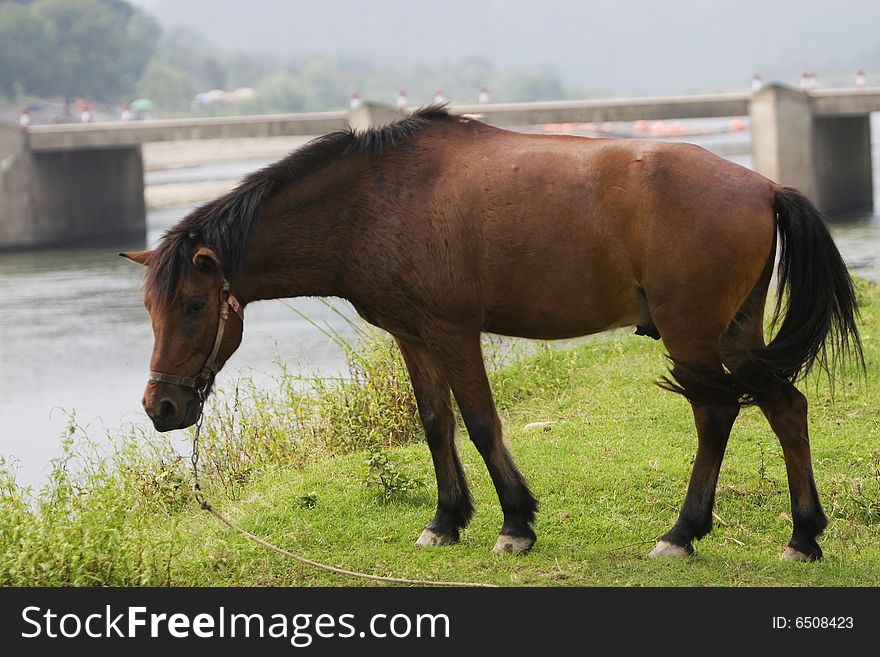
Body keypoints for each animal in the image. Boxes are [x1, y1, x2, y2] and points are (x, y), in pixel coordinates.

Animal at [120, 106, 864, 560]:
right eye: (151, 310)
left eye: (193, 305)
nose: (162, 406)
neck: (375, 200)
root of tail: (764, 186)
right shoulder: (414, 337)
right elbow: (435, 422)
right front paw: (447, 519)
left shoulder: (453, 332)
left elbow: (481, 422)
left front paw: (515, 523)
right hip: (734, 333)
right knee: (783, 406)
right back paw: (803, 534)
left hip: (694, 335)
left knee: (715, 413)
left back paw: (683, 533)